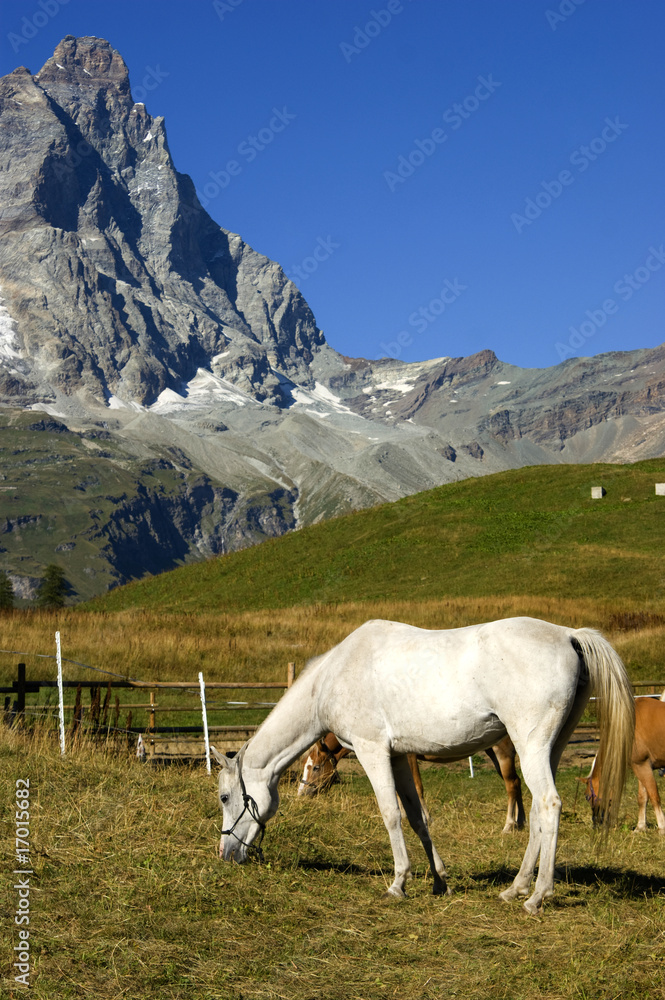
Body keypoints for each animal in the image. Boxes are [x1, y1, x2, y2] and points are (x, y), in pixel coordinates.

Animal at [298, 732, 528, 832]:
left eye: (315, 767)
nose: (301, 793)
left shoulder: (409, 757)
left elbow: (417, 788)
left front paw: (426, 819)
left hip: (502, 753)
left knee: (511, 785)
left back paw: (509, 824)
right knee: (516, 783)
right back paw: (521, 822)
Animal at [584, 692, 660, 832]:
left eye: (587, 796)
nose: (595, 823)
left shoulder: (641, 765)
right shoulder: (643, 766)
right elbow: (643, 797)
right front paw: (641, 827)